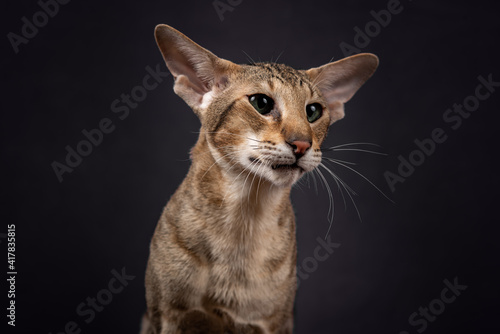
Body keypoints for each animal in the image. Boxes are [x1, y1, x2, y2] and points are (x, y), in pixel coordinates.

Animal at [141, 24, 376, 334]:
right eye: (261, 103)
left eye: (313, 111)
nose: (302, 144)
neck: (244, 219)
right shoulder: (167, 316)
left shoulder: (273, 322)